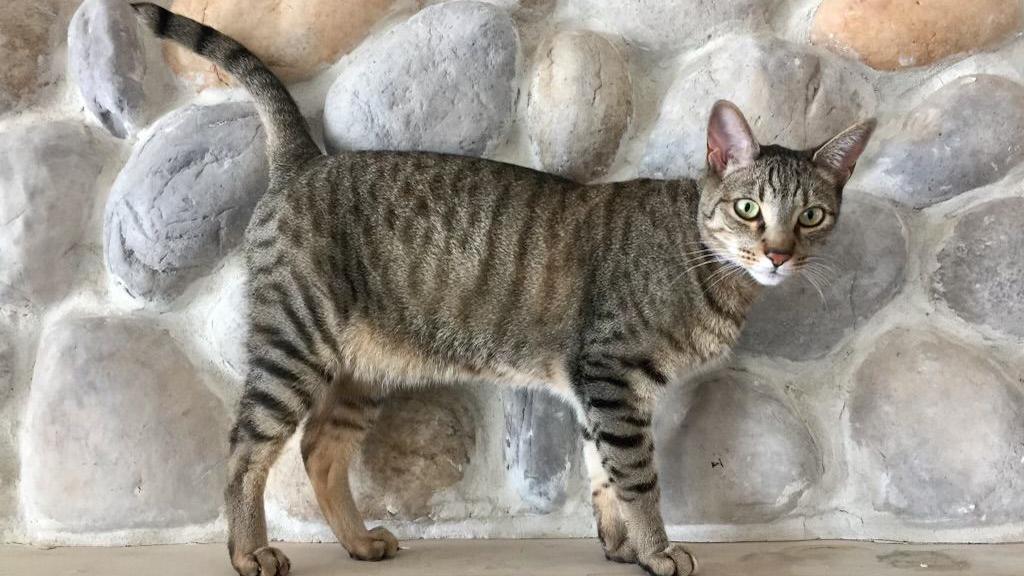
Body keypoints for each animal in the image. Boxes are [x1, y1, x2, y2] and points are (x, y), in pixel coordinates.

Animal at [132, 5, 876, 573]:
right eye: (749, 209)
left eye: (812, 216)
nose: (778, 254)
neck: (705, 262)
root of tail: (305, 159)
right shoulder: (611, 375)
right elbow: (638, 478)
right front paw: (658, 550)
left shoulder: (600, 389)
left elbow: (605, 474)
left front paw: (622, 548)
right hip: (294, 342)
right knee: (245, 450)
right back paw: (248, 551)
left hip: (360, 368)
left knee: (320, 449)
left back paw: (359, 542)